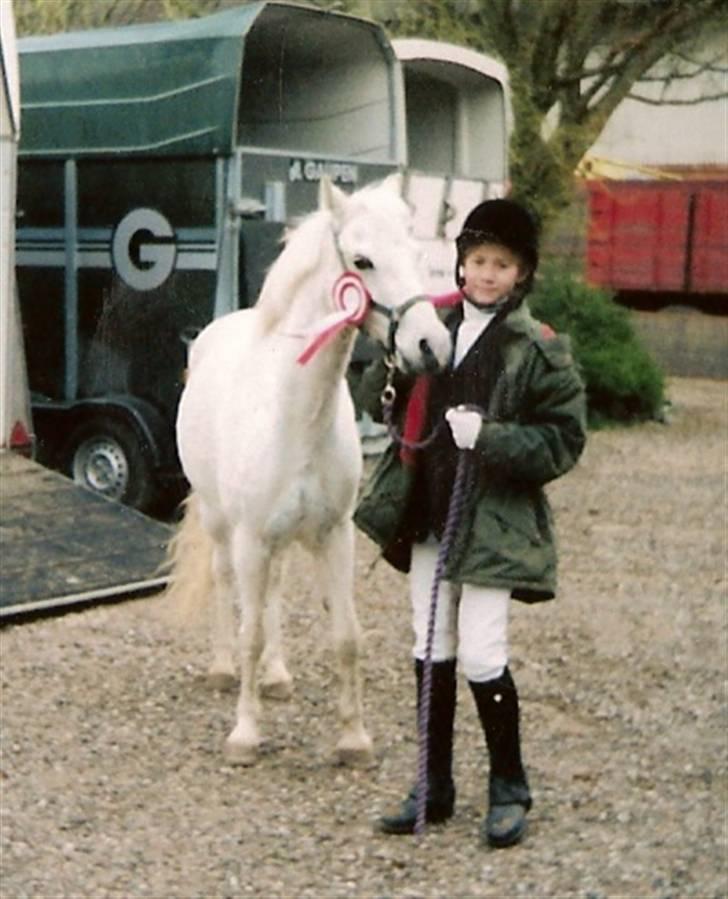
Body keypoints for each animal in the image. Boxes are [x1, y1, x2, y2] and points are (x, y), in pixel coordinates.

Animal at [168, 176, 452, 768]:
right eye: (362, 261)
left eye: (418, 254)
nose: (431, 347)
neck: (295, 413)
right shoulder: (251, 537)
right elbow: (250, 631)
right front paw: (245, 735)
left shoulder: (334, 535)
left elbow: (346, 635)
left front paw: (354, 740)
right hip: (222, 524)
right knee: (226, 584)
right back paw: (224, 670)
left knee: (273, 591)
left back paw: (276, 676)